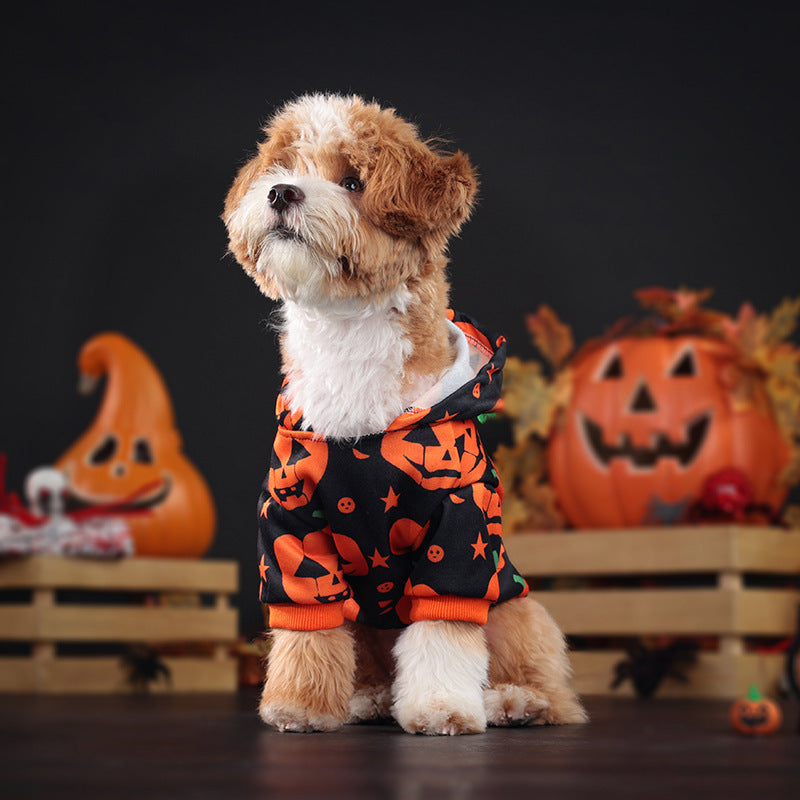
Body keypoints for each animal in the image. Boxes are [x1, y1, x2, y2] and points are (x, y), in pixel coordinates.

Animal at [222, 90, 584, 736]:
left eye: (351, 181)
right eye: (282, 167)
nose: (280, 193)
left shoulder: (460, 528)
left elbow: (443, 625)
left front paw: (441, 709)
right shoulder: (291, 522)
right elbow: (307, 625)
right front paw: (301, 706)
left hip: (515, 606)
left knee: (544, 678)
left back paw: (516, 702)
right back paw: (366, 698)